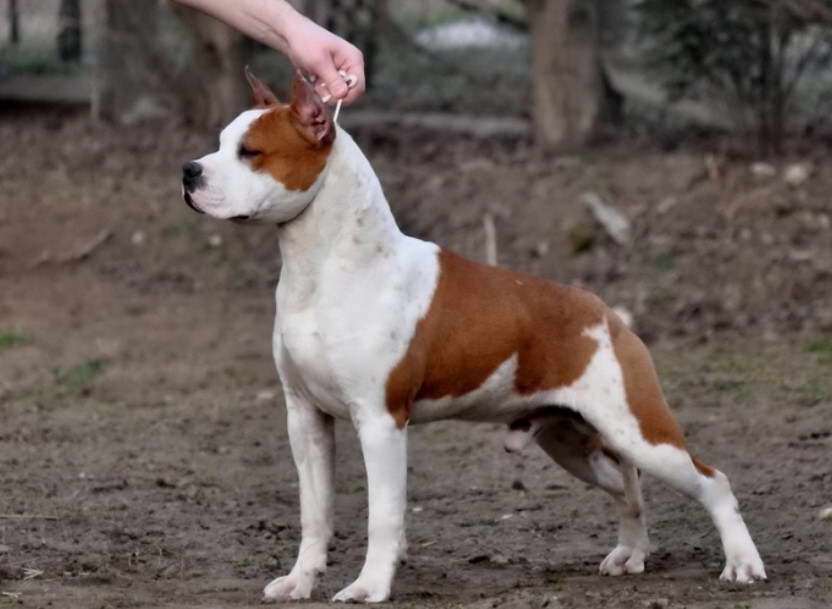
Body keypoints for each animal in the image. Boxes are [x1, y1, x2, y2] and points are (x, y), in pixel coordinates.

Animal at [182, 73, 768, 600]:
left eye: (251, 152)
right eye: (219, 143)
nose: (188, 171)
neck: (324, 265)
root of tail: (605, 313)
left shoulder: (380, 421)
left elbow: (383, 515)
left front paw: (370, 587)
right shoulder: (305, 418)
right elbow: (315, 513)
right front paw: (300, 581)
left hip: (640, 431)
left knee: (711, 480)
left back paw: (741, 564)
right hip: (572, 441)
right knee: (628, 486)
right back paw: (631, 553)